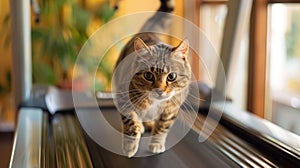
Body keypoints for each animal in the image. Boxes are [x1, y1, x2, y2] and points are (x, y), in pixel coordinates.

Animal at [113, 0, 191, 158]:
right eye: (148, 76)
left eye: (171, 76)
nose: (159, 90)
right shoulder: (123, 97)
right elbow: (131, 121)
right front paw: (130, 145)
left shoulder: (171, 108)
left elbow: (162, 127)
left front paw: (156, 143)